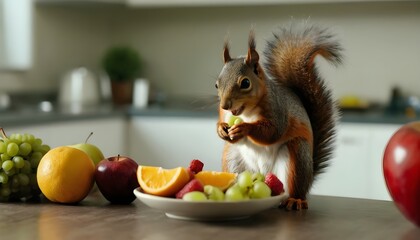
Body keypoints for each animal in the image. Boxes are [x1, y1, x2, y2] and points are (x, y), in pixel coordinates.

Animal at [215, 23, 342, 210]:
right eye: (216, 84)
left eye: (245, 83)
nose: (225, 105)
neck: (246, 112)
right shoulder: (224, 114)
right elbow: (223, 123)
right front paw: (221, 129)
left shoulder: (277, 108)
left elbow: (273, 131)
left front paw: (244, 128)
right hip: (233, 159)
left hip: (297, 156)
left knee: (293, 188)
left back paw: (295, 200)